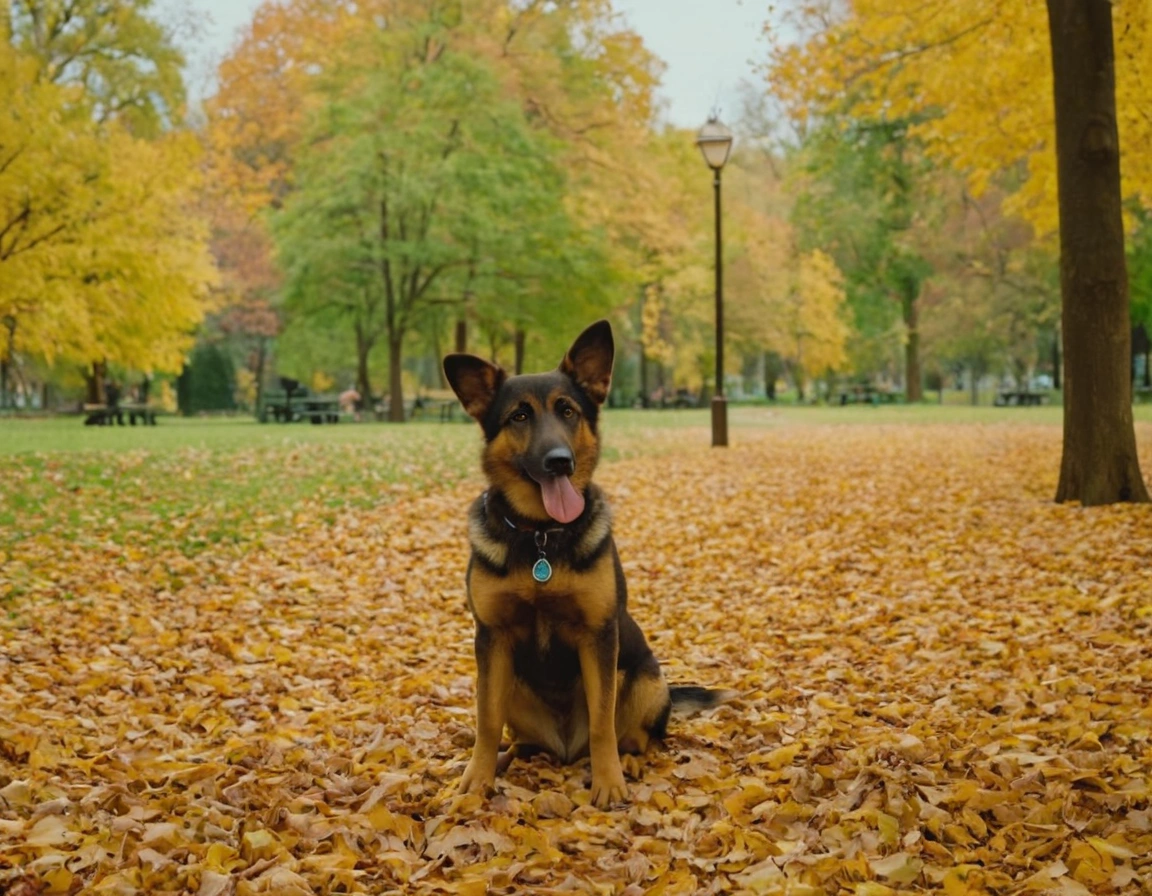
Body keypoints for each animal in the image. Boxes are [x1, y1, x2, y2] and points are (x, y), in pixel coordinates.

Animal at [440, 320, 728, 801]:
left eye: (568, 411)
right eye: (519, 416)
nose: (559, 461)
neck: (541, 536)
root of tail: (565, 748)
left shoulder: (599, 638)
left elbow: (602, 722)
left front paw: (609, 782)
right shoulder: (492, 640)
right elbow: (486, 720)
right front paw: (477, 778)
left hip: (645, 678)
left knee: (643, 737)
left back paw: (628, 762)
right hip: (513, 683)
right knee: (519, 739)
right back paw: (508, 758)